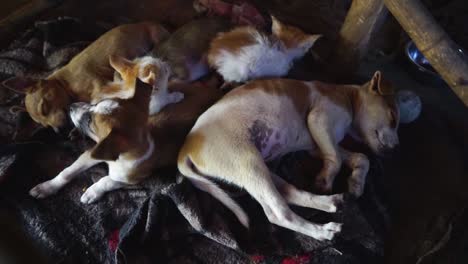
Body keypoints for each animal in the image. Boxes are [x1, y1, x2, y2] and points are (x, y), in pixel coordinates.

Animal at [177, 71, 422, 240]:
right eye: (393, 118)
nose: (397, 150)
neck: (348, 97)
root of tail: (185, 149)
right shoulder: (319, 120)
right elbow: (337, 158)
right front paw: (327, 179)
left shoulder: (319, 145)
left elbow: (361, 157)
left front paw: (356, 183)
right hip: (247, 162)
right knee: (279, 213)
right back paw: (322, 231)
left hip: (257, 170)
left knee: (288, 194)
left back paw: (330, 202)